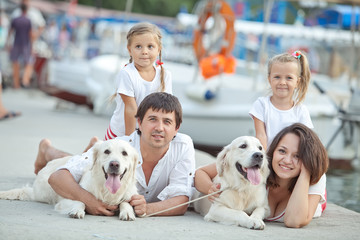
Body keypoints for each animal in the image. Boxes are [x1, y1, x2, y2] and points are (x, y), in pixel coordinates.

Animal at [0, 140, 139, 220]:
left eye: (124, 153)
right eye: (107, 151)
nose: (114, 164)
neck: (107, 191)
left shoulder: (130, 196)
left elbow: (125, 202)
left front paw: (127, 212)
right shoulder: (65, 200)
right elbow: (81, 200)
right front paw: (77, 210)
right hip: (44, 193)